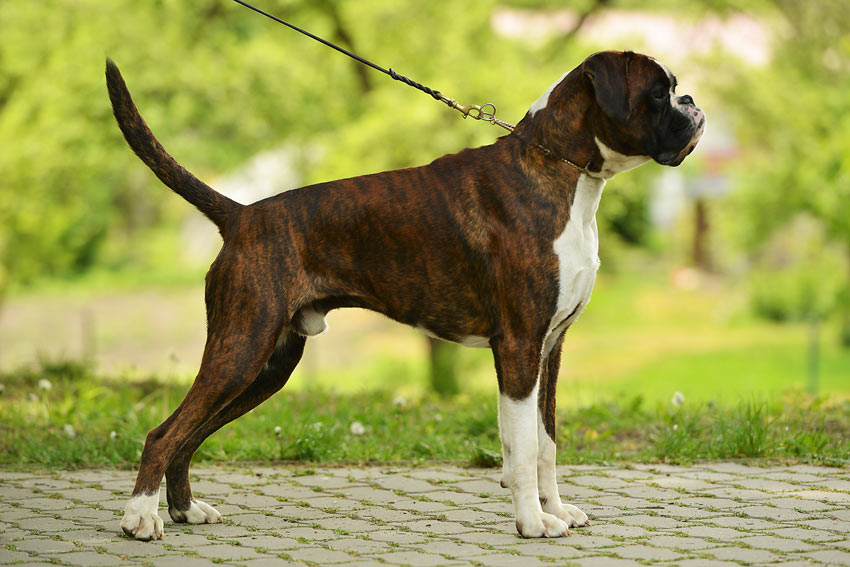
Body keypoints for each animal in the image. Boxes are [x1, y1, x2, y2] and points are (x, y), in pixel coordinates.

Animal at [106, 52, 704, 540]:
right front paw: (533, 523)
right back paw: (140, 518)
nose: (693, 102)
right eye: (658, 92)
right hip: (242, 348)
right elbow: (524, 446)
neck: (559, 168)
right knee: (164, 433)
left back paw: (185, 510)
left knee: (188, 434)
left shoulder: (549, 349)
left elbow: (548, 441)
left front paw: (555, 510)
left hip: (268, 364)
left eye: (673, 89)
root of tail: (243, 215)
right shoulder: (517, 346)